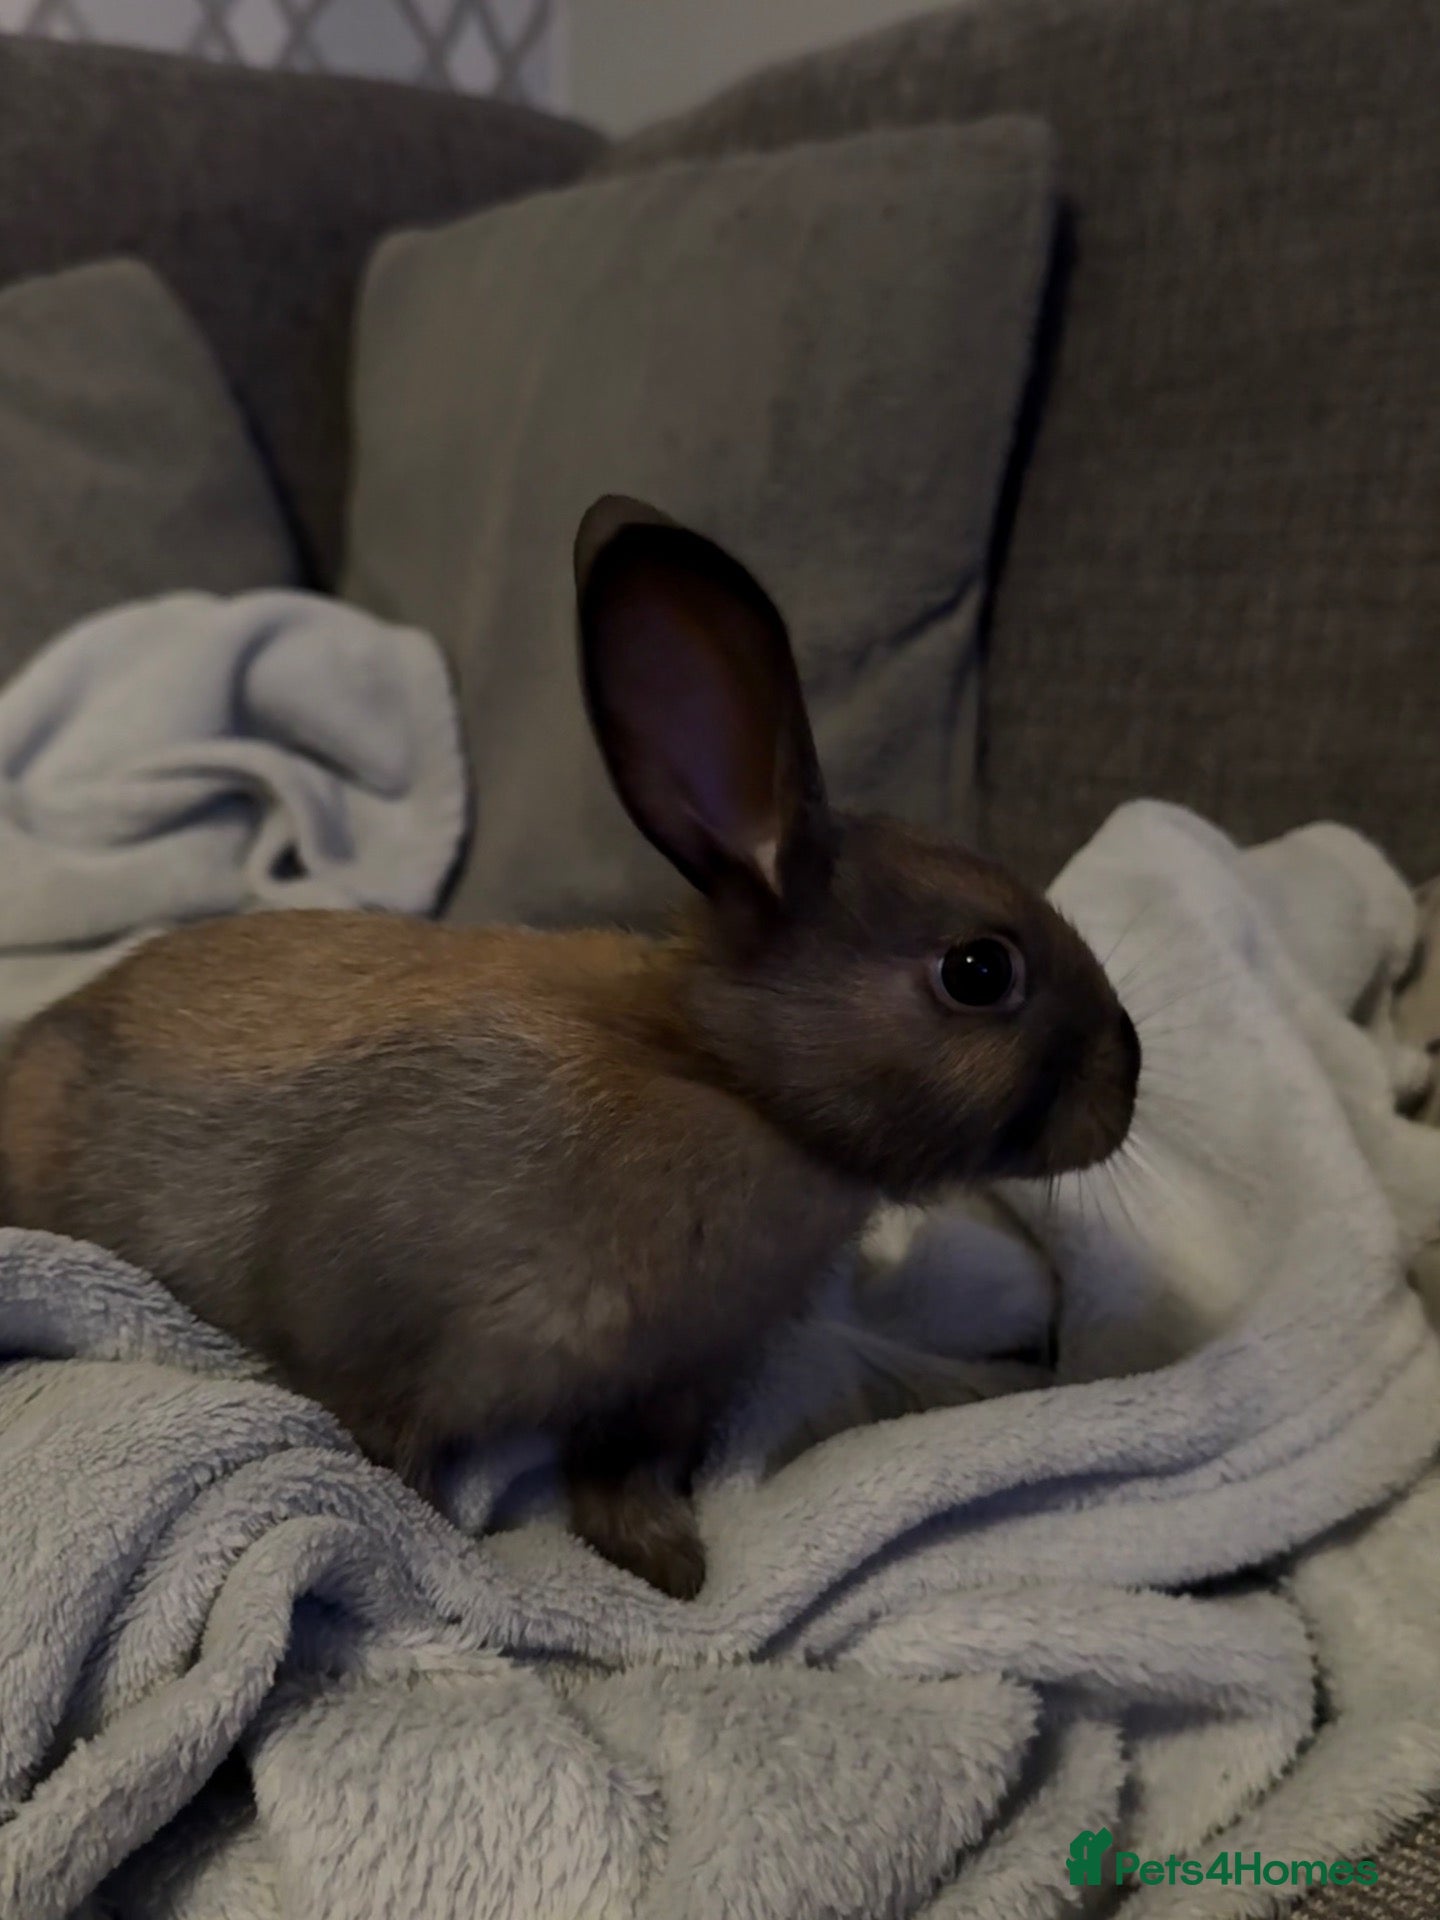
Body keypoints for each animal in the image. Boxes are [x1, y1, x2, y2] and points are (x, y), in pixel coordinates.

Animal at [0, 496, 1140, 1599]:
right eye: (980, 971)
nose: (1126, 1083)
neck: (729, 1082)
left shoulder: (657, 1391)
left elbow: (619, 1481)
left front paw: (670, 1570)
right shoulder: (387, 1336)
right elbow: (390, 1464)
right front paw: (454, 1566)